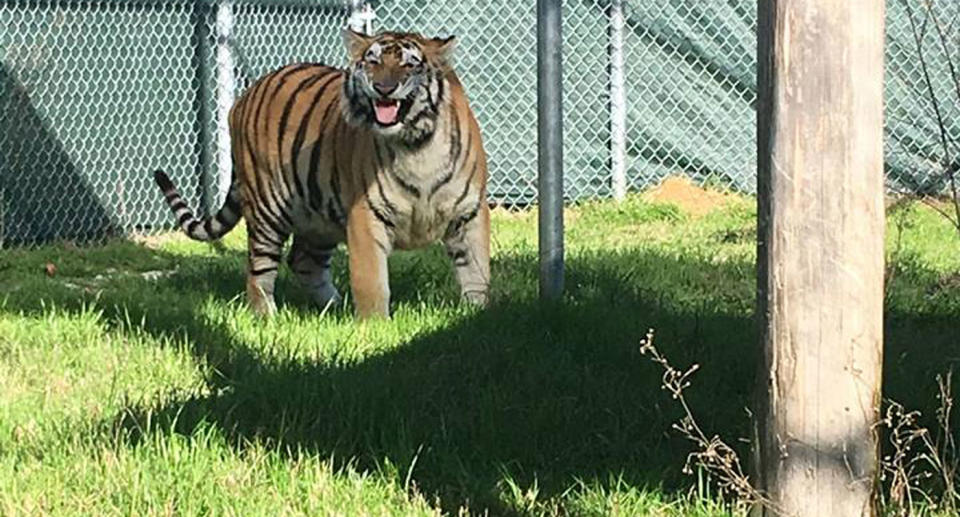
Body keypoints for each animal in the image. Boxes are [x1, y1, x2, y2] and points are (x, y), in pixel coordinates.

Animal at [157, 30, 492, 318]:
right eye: (373, 61)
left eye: (409, 64)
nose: (383, 88)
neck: (417, 146)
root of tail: (244, 96)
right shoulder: (365, 214)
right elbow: (372, 281)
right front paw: (374, 326)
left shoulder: (470, 212)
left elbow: (477, 271)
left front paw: (477, 314)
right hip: (268, 210)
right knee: (258, 267)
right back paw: (267, 314)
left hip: (320, 215)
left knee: (304, 261)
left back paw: (334, 308)